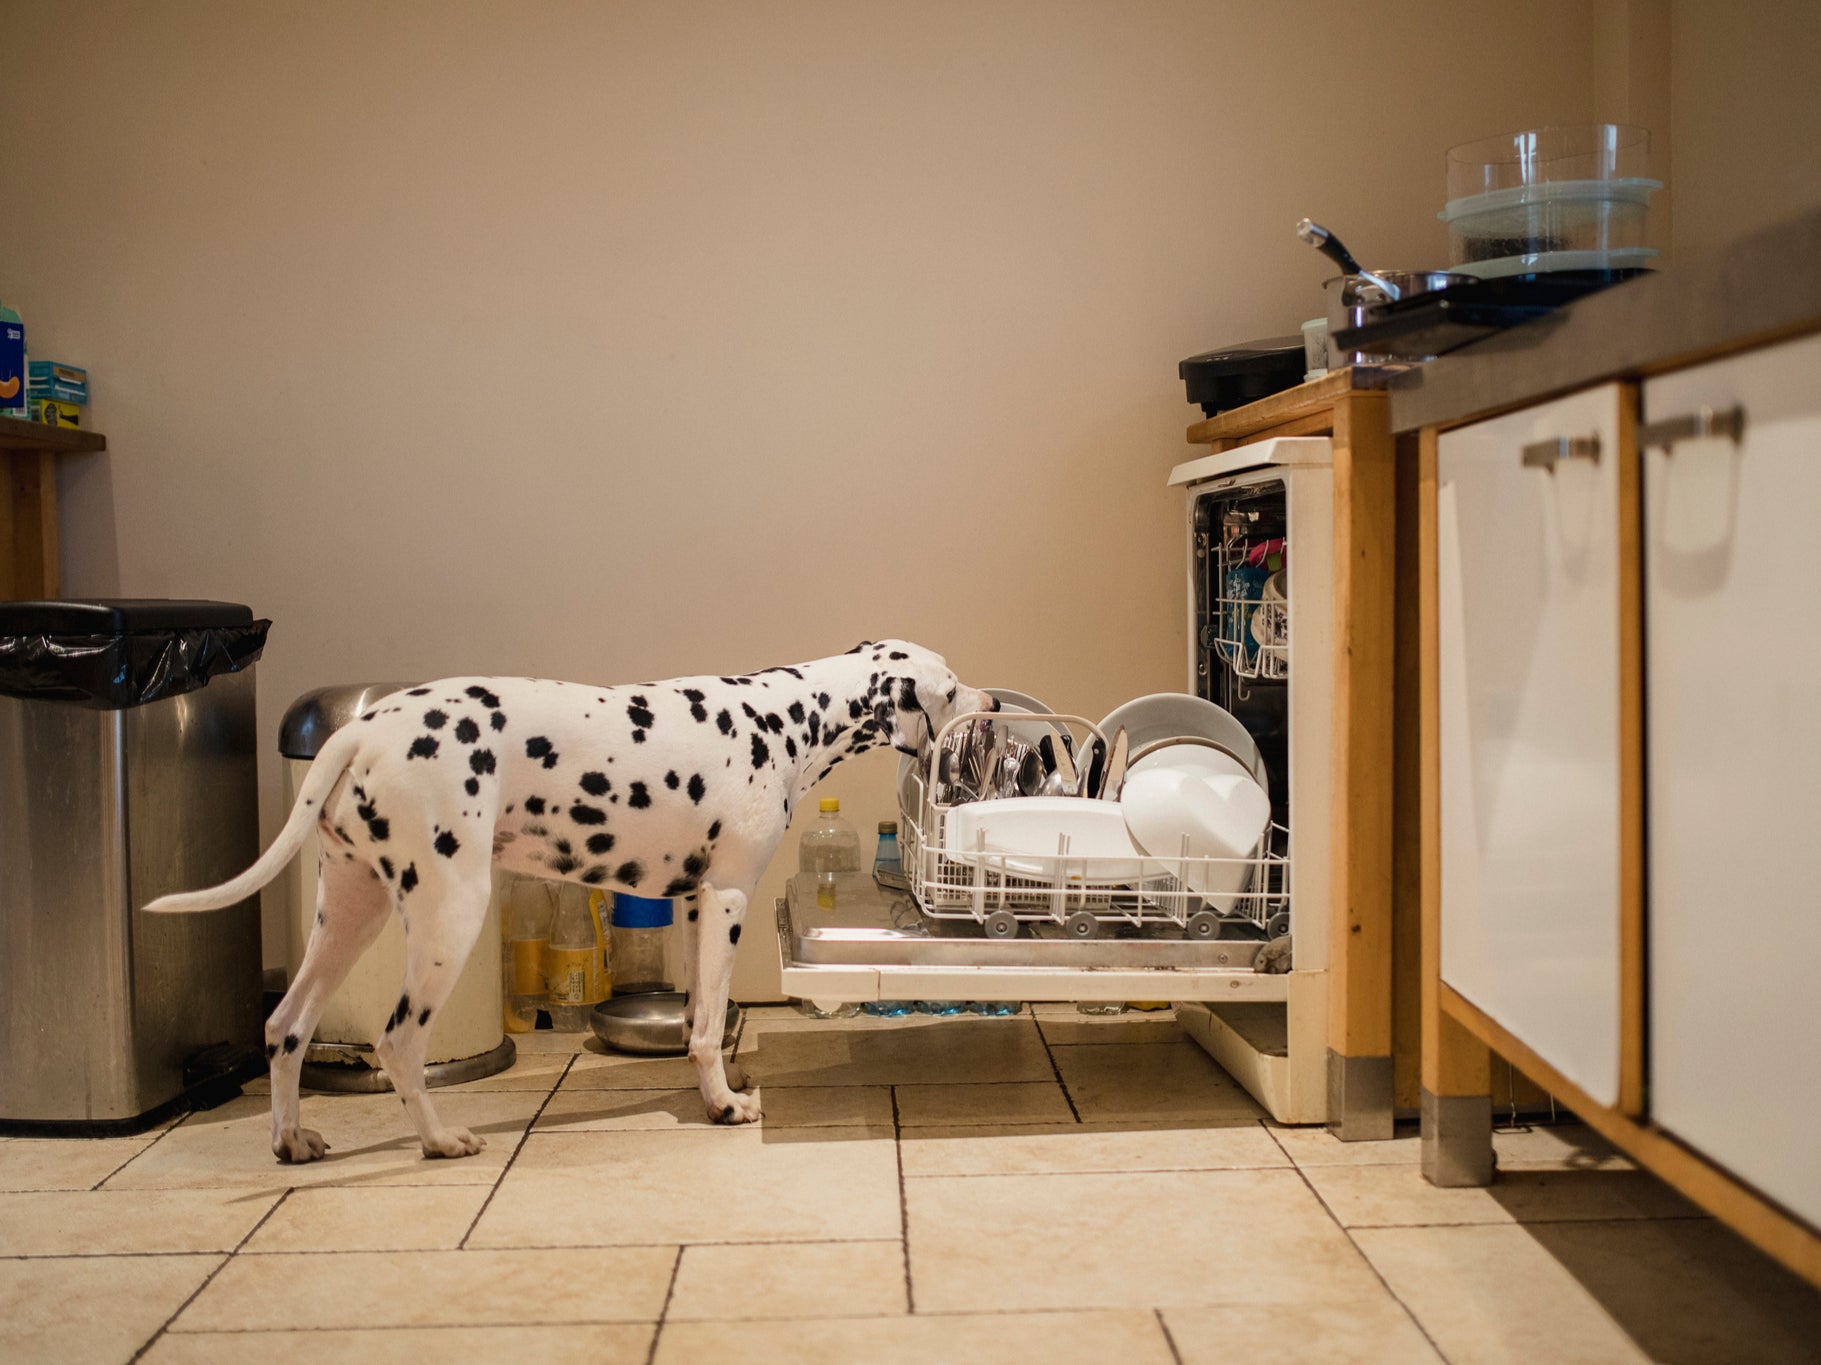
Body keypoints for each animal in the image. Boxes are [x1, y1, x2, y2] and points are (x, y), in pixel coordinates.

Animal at [145, 640, 997, 1164]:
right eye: (951, 684)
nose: (988, 698)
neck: (782, 718)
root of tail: (366, 730)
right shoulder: (726, 899)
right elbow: (708, 1024)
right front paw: (726, 1107)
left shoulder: (695, 905)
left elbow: (699, 1022)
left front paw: (711, 1090)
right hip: (448, 916)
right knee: (397, 1042)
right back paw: (439, 1140)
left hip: (349, 914)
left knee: (285, 1026)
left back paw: (291, 1139)